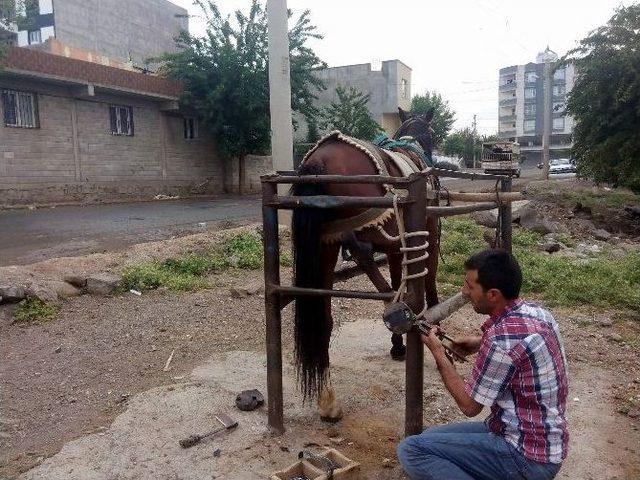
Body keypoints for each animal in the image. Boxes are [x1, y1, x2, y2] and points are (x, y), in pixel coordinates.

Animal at [292, 107, 438, 410]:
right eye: (433, 133)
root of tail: (320, 159)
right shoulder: (425, 234)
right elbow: (425, 277)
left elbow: (398, 278)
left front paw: (398, 341)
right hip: (367, 228)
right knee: (362, 251)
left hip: (325, 245)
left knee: (324, 317)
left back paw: (327, 398)